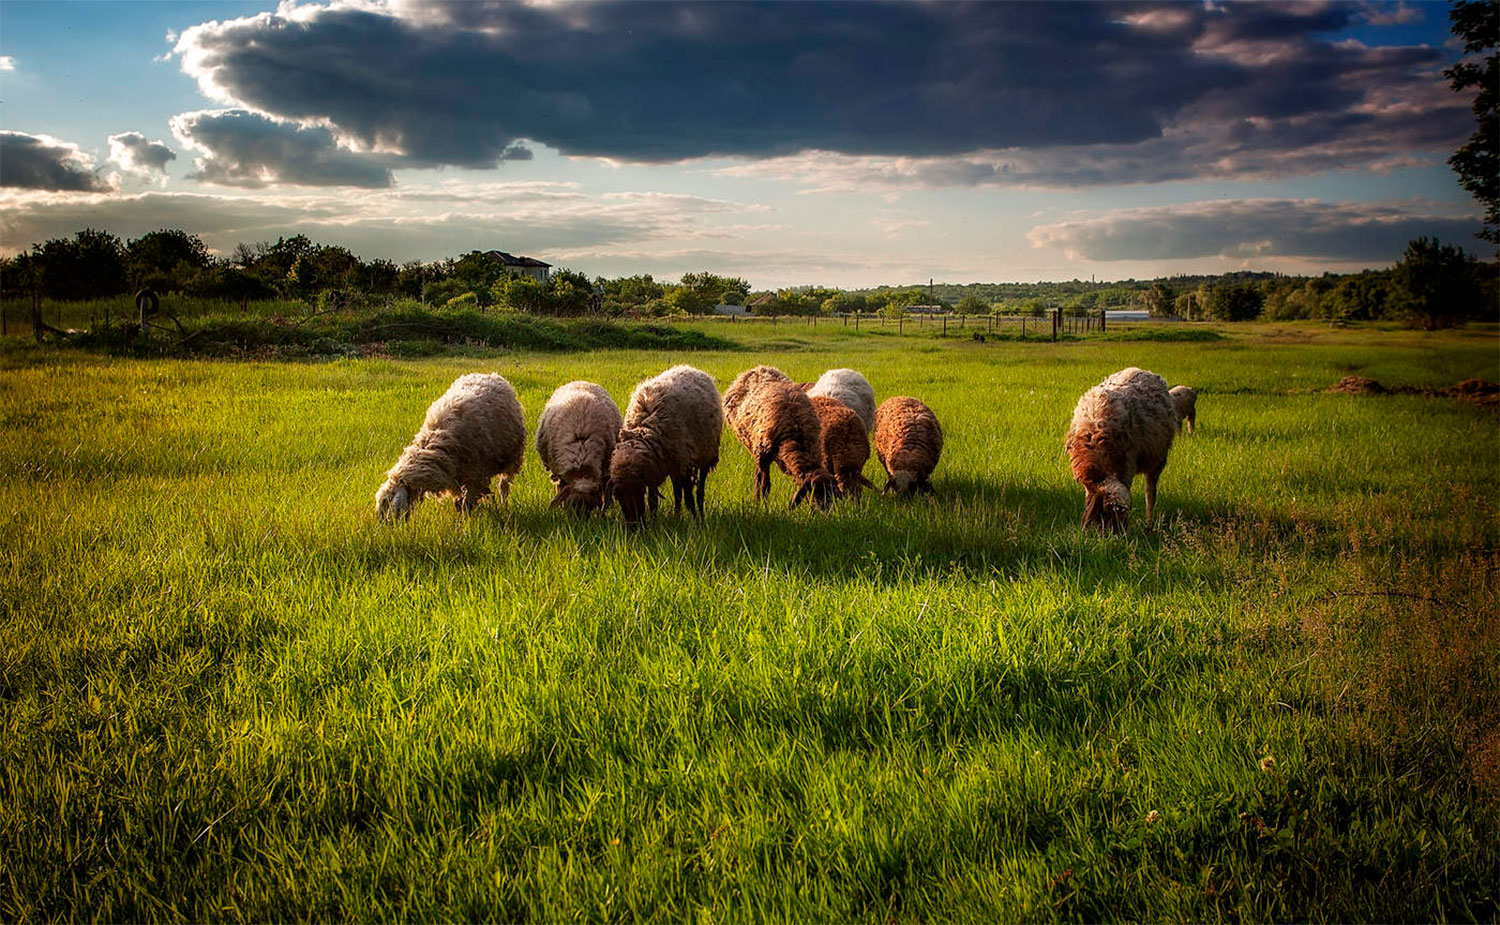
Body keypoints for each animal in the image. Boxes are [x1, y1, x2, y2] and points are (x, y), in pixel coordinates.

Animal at [375, 371, 528, 521]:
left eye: (387, 503)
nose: (386, 526)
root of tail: (490, 374)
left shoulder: (475, 476)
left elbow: (467, 503)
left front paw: (465, 522)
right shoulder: (455, 475)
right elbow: (459, 502)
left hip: (513, 457)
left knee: (504, 485)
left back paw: (503, 503)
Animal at [609, 364, 726, 530]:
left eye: (639, 491)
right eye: (618, 497)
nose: (634, 528)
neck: (644, 429)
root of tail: (690, 368)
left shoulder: (683, 463)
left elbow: (688, 497)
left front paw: (695, 520)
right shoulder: (655, 468)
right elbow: (653, 501)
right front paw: (654, 521)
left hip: (705, 454)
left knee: (698, 490)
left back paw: (700, 515)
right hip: (674, 462)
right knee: (677, 492)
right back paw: (677, 516)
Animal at [723, 364, 840, 509]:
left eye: (833, 495)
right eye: (816, 494)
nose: (826, 511)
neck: (797, 438)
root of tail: (757, 369)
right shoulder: (763, 456)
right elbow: (765, 486)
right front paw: (763, 506)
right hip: (753, 445)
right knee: (758, 476)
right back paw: (756, 498)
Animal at [1062, 364, 1176, 530]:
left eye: (1123, 513)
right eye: (1105, 512)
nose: (1117, 534)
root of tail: (1140, 370)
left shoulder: (1127, 465)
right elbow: (1089, 498)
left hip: (1158, 458)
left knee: (1150, 492)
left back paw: (1149, 525)